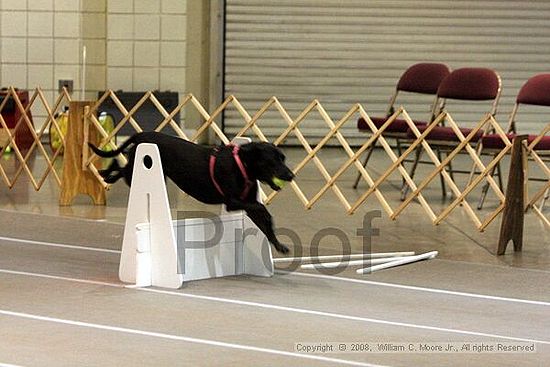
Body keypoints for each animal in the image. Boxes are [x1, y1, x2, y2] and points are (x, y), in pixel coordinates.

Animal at [90, 131, 296, 254]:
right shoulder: (232, 202)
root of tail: (143, 134)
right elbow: (259, 207)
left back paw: (107, 173)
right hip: (139, 168)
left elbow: (264, 221)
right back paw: (106, 173)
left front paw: (279, 245)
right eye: (272, 161)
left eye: (283, 158)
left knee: (122, 168)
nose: (291, 175)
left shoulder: (245, 204)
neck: (243, 165)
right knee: (121, 169)